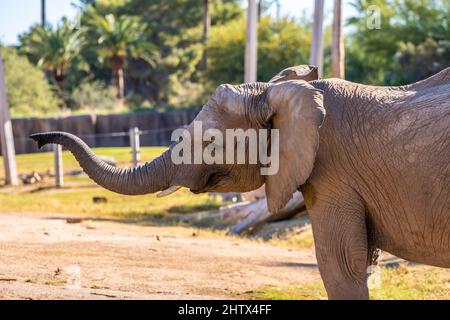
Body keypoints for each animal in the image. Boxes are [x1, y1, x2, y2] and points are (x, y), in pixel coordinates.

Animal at [29, 65, 448, 300]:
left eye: (210, 143)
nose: (37, 139)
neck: (280, 91)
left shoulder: (333, 172)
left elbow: (341, 264)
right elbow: (360, 264)